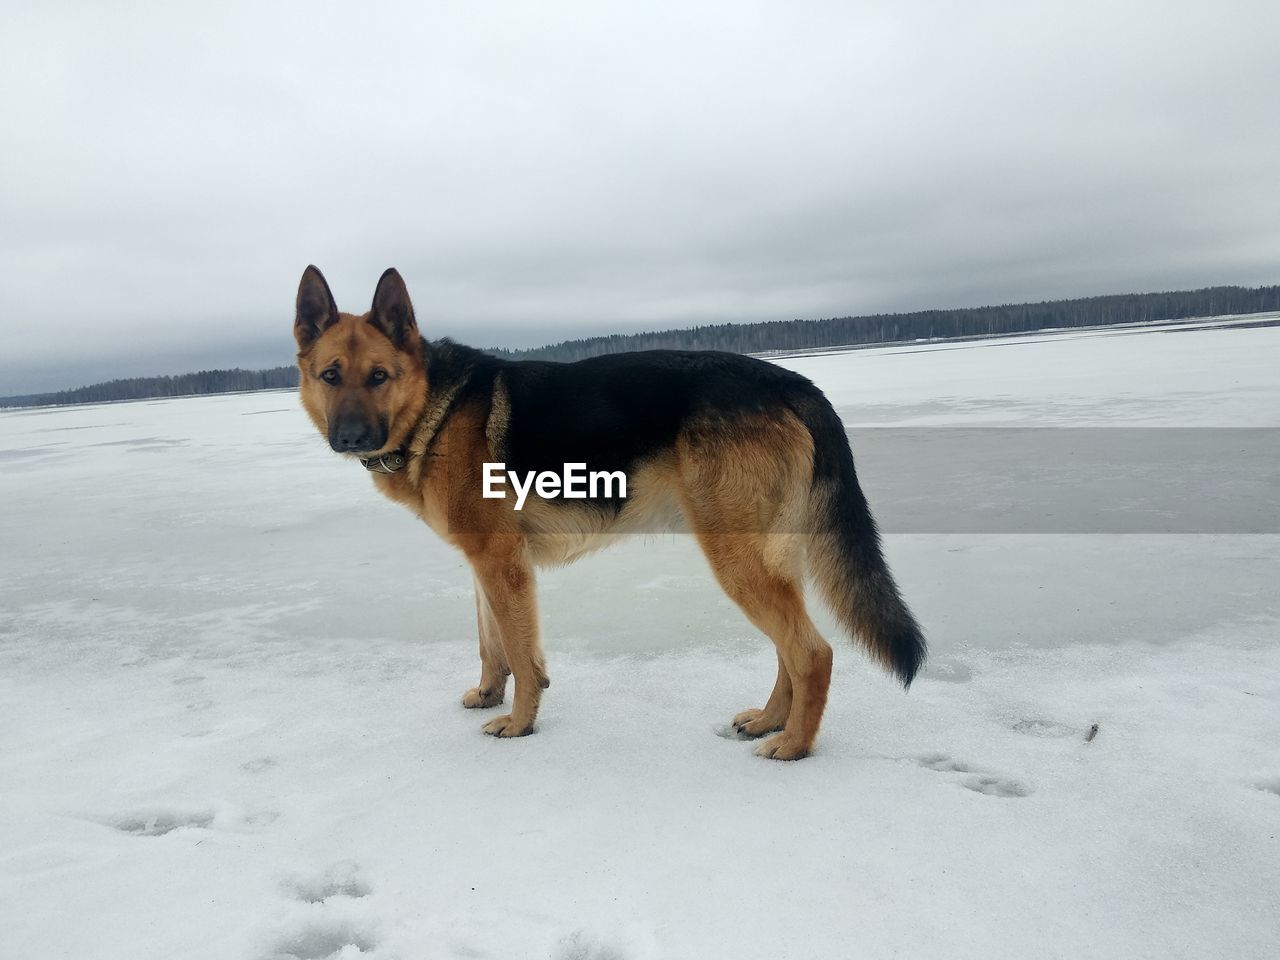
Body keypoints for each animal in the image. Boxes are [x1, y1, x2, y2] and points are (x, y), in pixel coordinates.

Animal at [294, 267, 926, 762]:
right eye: (331, 376)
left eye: (380, 376)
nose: (349, 438)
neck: (433, 406)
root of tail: (794, 380)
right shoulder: (483, 563)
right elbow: (490, 643)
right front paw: (489, 694)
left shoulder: (502, 563)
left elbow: (521, 654)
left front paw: (520, 724)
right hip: (764, 558)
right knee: (788, 651)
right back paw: (770, 721)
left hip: (735, 557)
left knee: (812, 654)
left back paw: (793, 745)